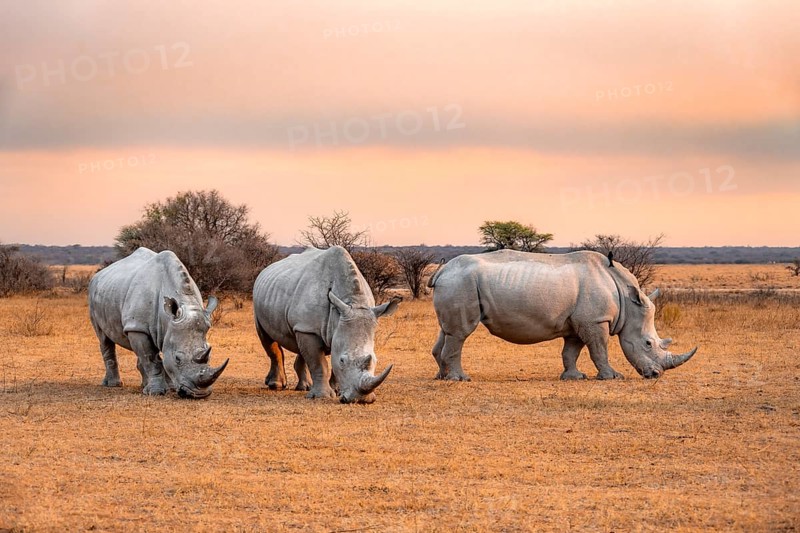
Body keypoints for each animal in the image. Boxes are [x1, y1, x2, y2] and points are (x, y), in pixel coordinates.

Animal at [88, 247, 229, 398]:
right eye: (178, 359)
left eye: (209, 356)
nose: (199, 394)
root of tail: (98, 275)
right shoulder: (137, 327)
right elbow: (151, 359)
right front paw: (156, 392)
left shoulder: (166, 328)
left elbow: (159, 356)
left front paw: (170, 387)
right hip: (94, 297)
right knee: (104, 338)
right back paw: (114, 384)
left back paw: (143, 386)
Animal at [253, 246, 400, 404]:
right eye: (343, 360)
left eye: (375, 360)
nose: (361, 399)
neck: (352, 302)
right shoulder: (309, 329)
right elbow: (318, 363)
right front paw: (321, 396)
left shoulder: (324, 327)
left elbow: (328, 361)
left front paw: (337, 391)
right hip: (261, 304)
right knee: (267, 339)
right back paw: (276, 385)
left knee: (299, 343)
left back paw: (304, 387)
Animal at [428, 249, 697, 381]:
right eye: (648, 343)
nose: (656, 375)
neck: (626, 299)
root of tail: (443, 270)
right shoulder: (596, 320)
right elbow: (599, 349)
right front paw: (612, 377)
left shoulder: (579, 321)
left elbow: (571, 351)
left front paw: (574, 377)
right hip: (462, 283)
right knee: (461, 333)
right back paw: (461, 379)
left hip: (456, 283)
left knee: (446, 330)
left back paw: (442, 377)